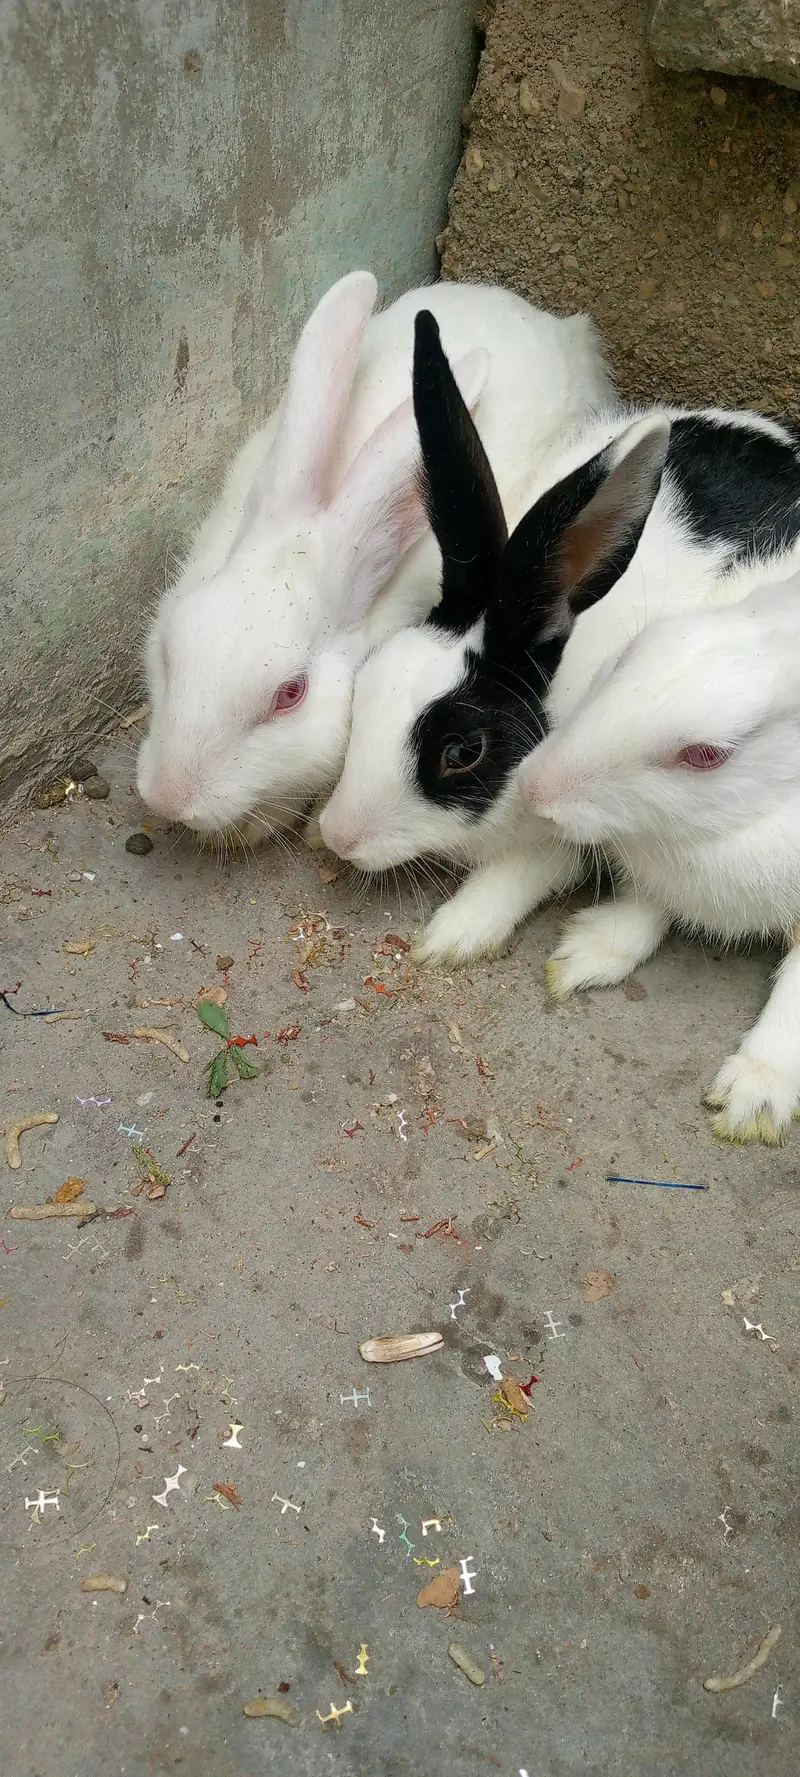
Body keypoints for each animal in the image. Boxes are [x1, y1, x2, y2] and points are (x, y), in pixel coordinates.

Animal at [318, 308, 800, 972]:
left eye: (462, 752)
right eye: (366, 682)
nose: (338, 836)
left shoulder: (564, 839)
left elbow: (518, 874)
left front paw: (451, 936)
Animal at [519, 567, 800, 1145]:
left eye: (707, 755)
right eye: (633, 649)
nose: (533, 792)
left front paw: (752, 1102)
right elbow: (647, 905)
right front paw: (584, 955)